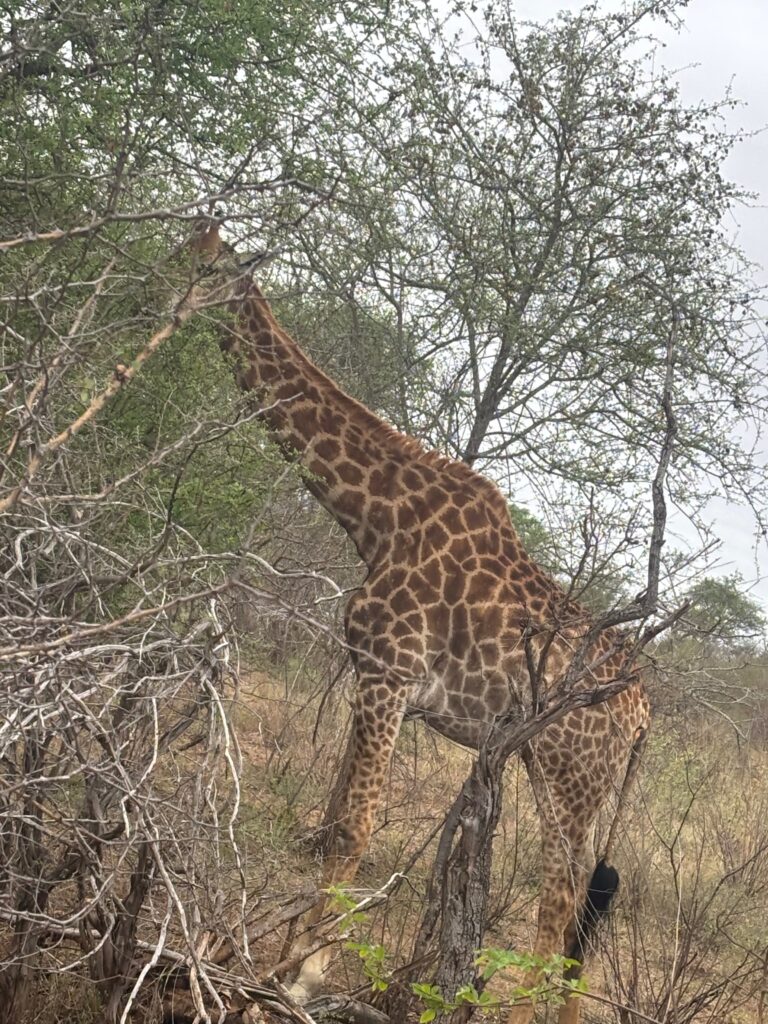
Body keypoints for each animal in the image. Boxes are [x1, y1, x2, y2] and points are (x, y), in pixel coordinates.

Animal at [189, 224, 651, 1024]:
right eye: (181, 250)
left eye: (208, 266)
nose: (160, 295)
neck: (374, 518)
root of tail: (645, 711)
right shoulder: (379, 682)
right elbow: (336, 817)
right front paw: (285, 966)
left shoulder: (388, 673)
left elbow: (354, 826)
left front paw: (303, 978)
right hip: (590, 793)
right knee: (581, 918)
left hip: (568, 785)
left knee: (556, 908)